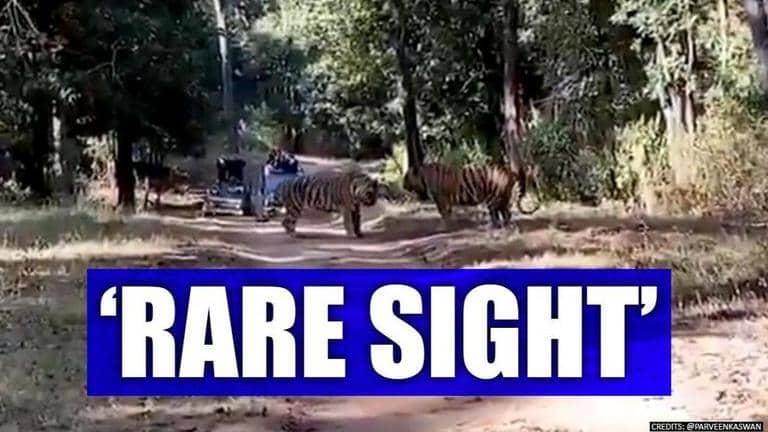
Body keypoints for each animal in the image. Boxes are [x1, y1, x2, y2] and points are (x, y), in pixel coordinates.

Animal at [402, 162, 540, 229]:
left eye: (406, 177)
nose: (402, 185)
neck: (423, 176)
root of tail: (508, 171)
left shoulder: (440, 198)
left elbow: (443, 213)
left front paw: (443, 227)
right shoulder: (445, 200)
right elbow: (448, 213)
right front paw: (451, 224)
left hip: (493, 197)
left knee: (497, 213)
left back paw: (493, 226)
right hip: (502, 197)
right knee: (506, 213)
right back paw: (504, 225)